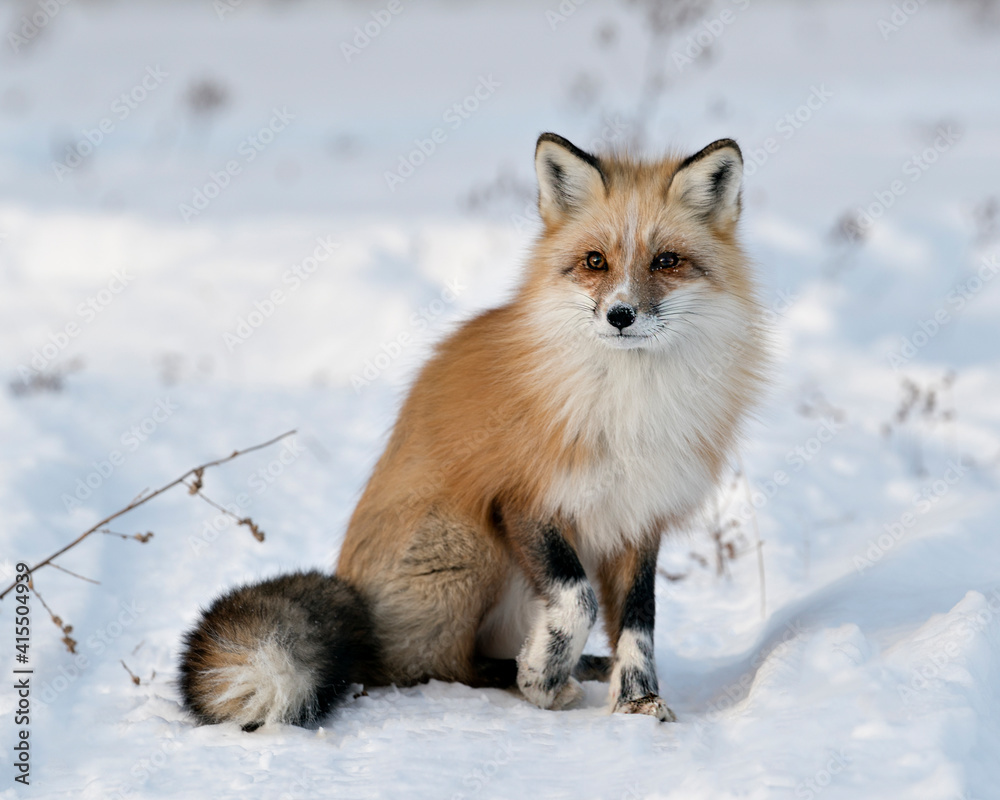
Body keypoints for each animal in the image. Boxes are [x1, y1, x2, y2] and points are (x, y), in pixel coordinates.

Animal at [179, 132, 768, 730]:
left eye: (666, 261)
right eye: (595, 261)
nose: (620, 315)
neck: (629, 405)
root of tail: (361, 616)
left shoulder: (640, 516)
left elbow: (638, 623)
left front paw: (637, 702)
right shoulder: (522, 499)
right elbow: (576, 600)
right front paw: (541, 678)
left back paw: (584, 668)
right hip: (472, 543)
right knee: (438, 664)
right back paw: (531, 675)